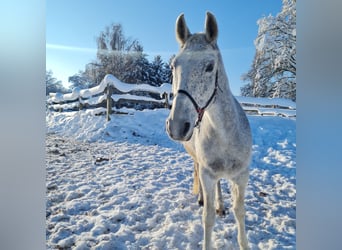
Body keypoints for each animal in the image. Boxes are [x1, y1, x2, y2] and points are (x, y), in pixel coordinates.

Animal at [167, 11, 252, 250]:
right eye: (173, 66)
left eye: (209, 66)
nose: (177, 125)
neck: (226, 135)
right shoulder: (207, 174)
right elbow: (208, 218)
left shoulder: (241, 176)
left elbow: (240, 212)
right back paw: (203, 199)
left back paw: (220, 205)